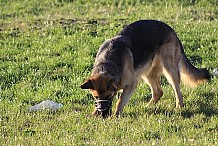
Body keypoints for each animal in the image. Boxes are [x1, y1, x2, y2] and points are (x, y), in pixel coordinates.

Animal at [81, 20, 210, 117]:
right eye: (95, 97)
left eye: (109, 96)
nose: (102, 113)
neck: (106, 64)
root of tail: (172, 30)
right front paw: (94, 114)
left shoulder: (131, 85)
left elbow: (120, 101)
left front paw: (115, 115)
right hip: (147, 73)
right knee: (158, 92)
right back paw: (148, 106)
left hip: (169, 69)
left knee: (177, 90)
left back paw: (179, 107)